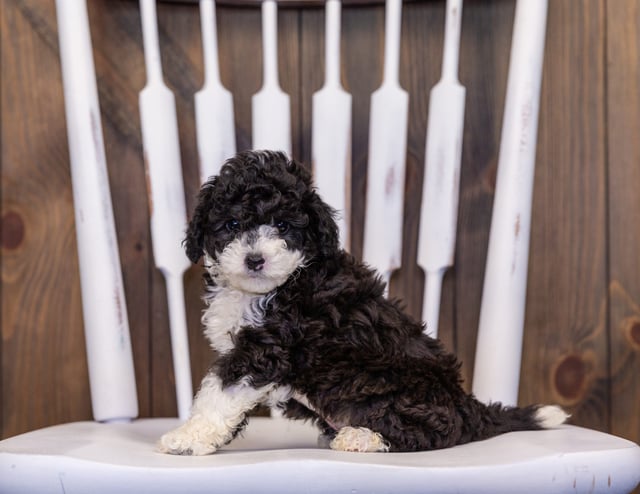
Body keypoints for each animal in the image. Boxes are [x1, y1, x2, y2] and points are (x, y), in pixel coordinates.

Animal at [158, 151, 568, 456]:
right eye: (231, 225)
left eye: (285, 226)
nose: (255, 260)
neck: (272, 287)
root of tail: (468, 406)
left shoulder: (267, 348)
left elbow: (220, 392)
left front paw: (187, 438)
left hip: (401, 391)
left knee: (434, 432)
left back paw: (362, 436)